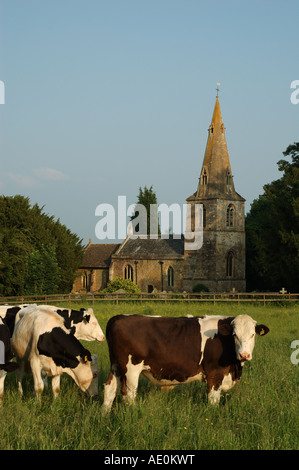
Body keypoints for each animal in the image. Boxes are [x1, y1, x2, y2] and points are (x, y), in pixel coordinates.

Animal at [102, 316, 270, 412]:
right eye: (235, 335)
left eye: (253, 334)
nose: (244, 355)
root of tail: (120, 317)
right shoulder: (214, 374)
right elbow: (213, 400)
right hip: (130, 369)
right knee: (129, 394)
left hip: (116, 366)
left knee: (110, 389)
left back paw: (104, 415)